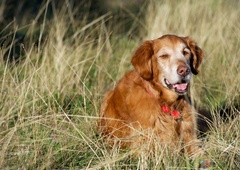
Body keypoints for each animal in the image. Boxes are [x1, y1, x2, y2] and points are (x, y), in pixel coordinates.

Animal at [98, 34, 211, 167]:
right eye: (164, 56)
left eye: (185, 52)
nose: (184, 70)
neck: (167, 104)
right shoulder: (142, 150)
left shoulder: (191, 140)